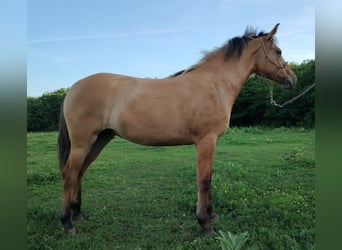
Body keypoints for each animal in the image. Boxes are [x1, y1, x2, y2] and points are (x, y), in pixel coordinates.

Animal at [58, 23, 296, 234]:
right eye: (278, 51)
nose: (292, 79)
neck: (214, 83)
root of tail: (73, 88)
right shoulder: (206, 141)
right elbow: (204, 180)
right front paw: (204, 223)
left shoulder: (210, 143)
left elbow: (209, 177)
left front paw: (212, 215)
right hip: (83, 142)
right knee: (70, 174)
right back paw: (67, 223)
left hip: (100, 138)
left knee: (80, 172)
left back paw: (78, 214)